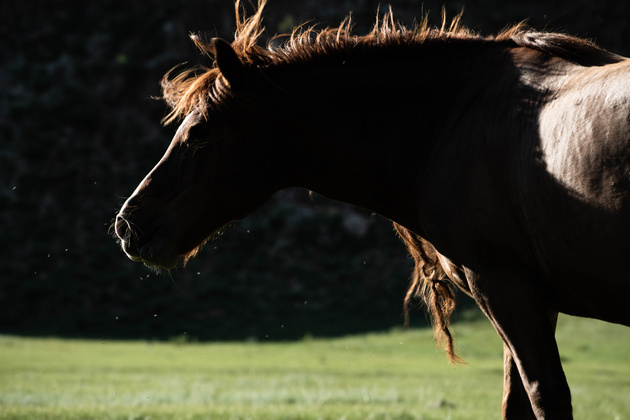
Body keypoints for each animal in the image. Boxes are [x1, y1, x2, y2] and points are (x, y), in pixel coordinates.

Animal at [115, 2, 630, 416]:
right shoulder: (532, 299)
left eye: (200, 130)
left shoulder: (505, 288)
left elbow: (545, 397)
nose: (129, 224)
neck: (452, 123)